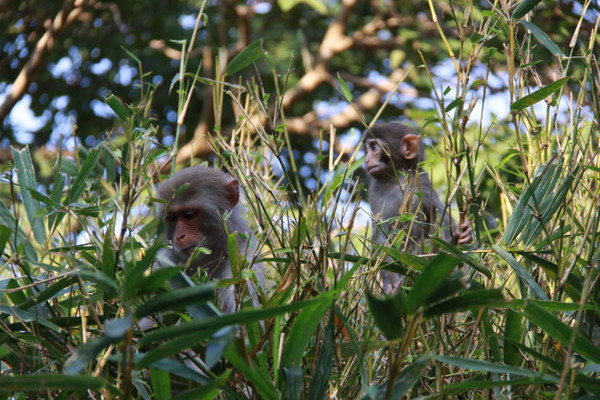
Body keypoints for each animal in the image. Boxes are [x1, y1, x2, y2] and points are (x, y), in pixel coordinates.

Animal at [360, 123, 474, 292]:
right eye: (366, 150)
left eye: (373, 147)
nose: (367, 160)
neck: (397, 179)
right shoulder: (375, 189)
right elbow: (381, 234)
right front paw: (390, 283)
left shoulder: (421, 180)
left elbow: (439, 213)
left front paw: (464, 234)